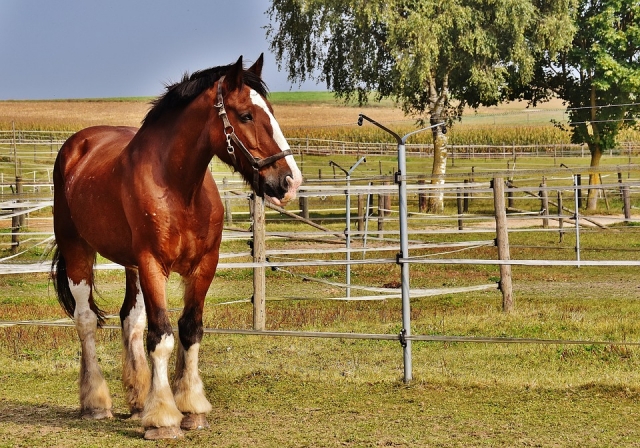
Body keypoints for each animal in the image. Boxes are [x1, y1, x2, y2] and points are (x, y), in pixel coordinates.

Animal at [50, 55, 302, 440]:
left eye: (271, 112)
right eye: (246, 115)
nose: (290, 182)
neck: (179, 189)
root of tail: (76, 145)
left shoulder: (203, 265)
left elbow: (189, 330)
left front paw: (191, 408)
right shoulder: (153, 264)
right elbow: (163, 336)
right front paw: (164, 419)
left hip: (131, 267)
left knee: (131, 319)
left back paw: (138, 399)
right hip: (79, 250)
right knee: (86, 320)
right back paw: (96, 403)